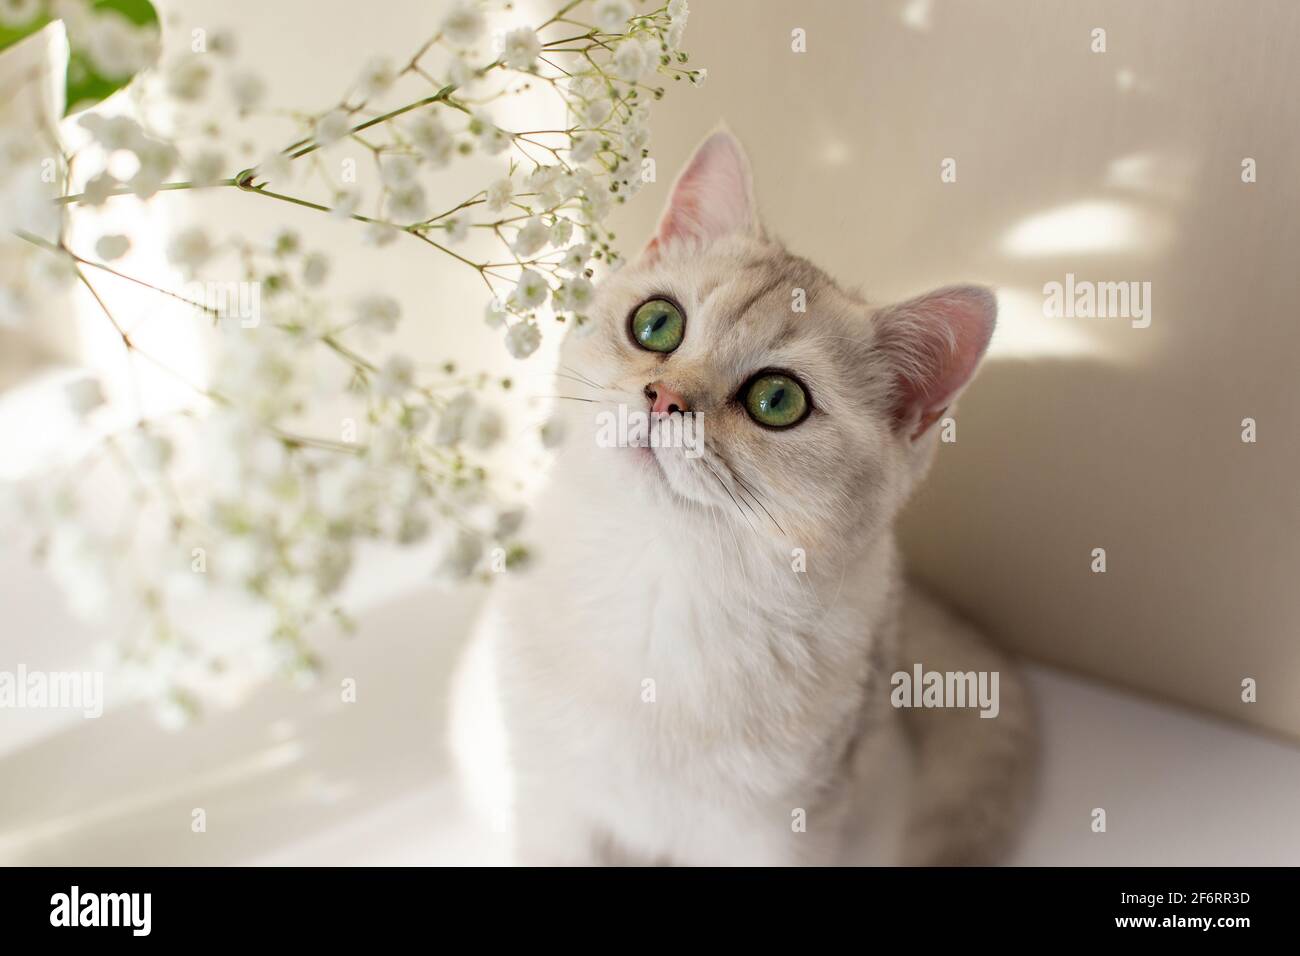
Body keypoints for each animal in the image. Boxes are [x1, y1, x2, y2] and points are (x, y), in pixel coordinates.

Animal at [449, 127, 1034, 868]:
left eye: (777, 400)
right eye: (657, 324)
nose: (665, 399)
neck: (662, 585)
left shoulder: (776, 832)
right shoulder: (556, 799)